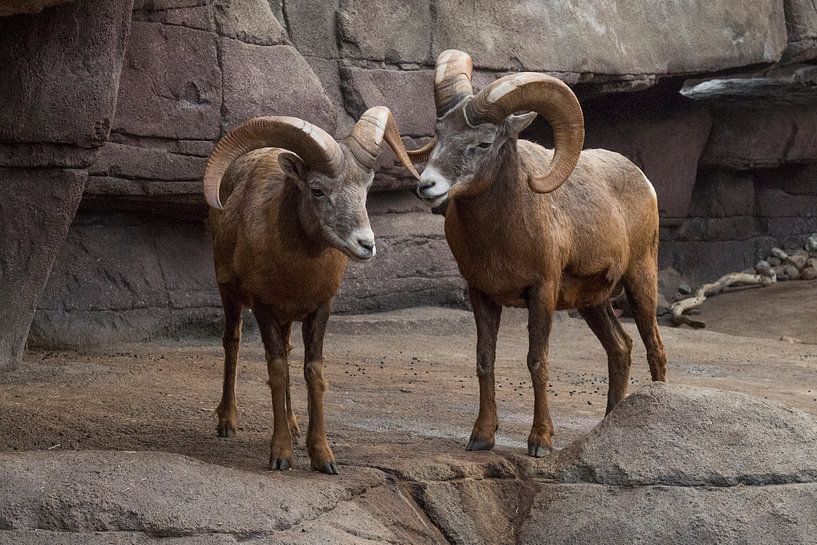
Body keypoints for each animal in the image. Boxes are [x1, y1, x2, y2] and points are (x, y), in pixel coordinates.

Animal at [203, 106, 418, 472]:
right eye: (317, 191)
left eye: (366, 188)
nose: (366, 244)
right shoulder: (263, 307)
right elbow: (277, 370)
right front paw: (281, 455)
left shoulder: (319, 309)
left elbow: (312, 372)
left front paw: (323, 457)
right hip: (230, 294)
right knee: (232, 343)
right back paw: (227, 422)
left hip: (288, 319)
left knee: (289, 353)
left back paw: (292, 424)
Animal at [412, 51, 668, 456]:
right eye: (440, 134)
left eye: (483, 143)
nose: (428, 185)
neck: (500, 235)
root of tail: (644, 181)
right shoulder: (482, 294)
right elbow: (485, 359)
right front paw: (481, 437)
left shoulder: (542, 292)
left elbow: (537, 362)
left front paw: (541, 441)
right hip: (592, 303)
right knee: (620, 348)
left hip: (641, 280)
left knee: (653, 347)